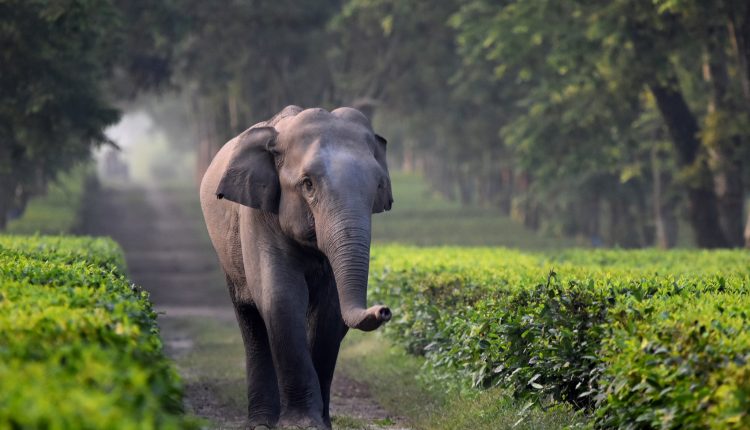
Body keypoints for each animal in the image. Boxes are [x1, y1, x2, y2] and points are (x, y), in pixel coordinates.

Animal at [199, 105, 393, 429]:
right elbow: (281, 297)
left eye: (377, 185)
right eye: (308, 184)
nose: (384, 310)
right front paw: (301, 423)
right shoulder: (258, 215)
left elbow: (329, 310)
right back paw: (262, 422)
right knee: (251, 319)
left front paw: (320, 424)